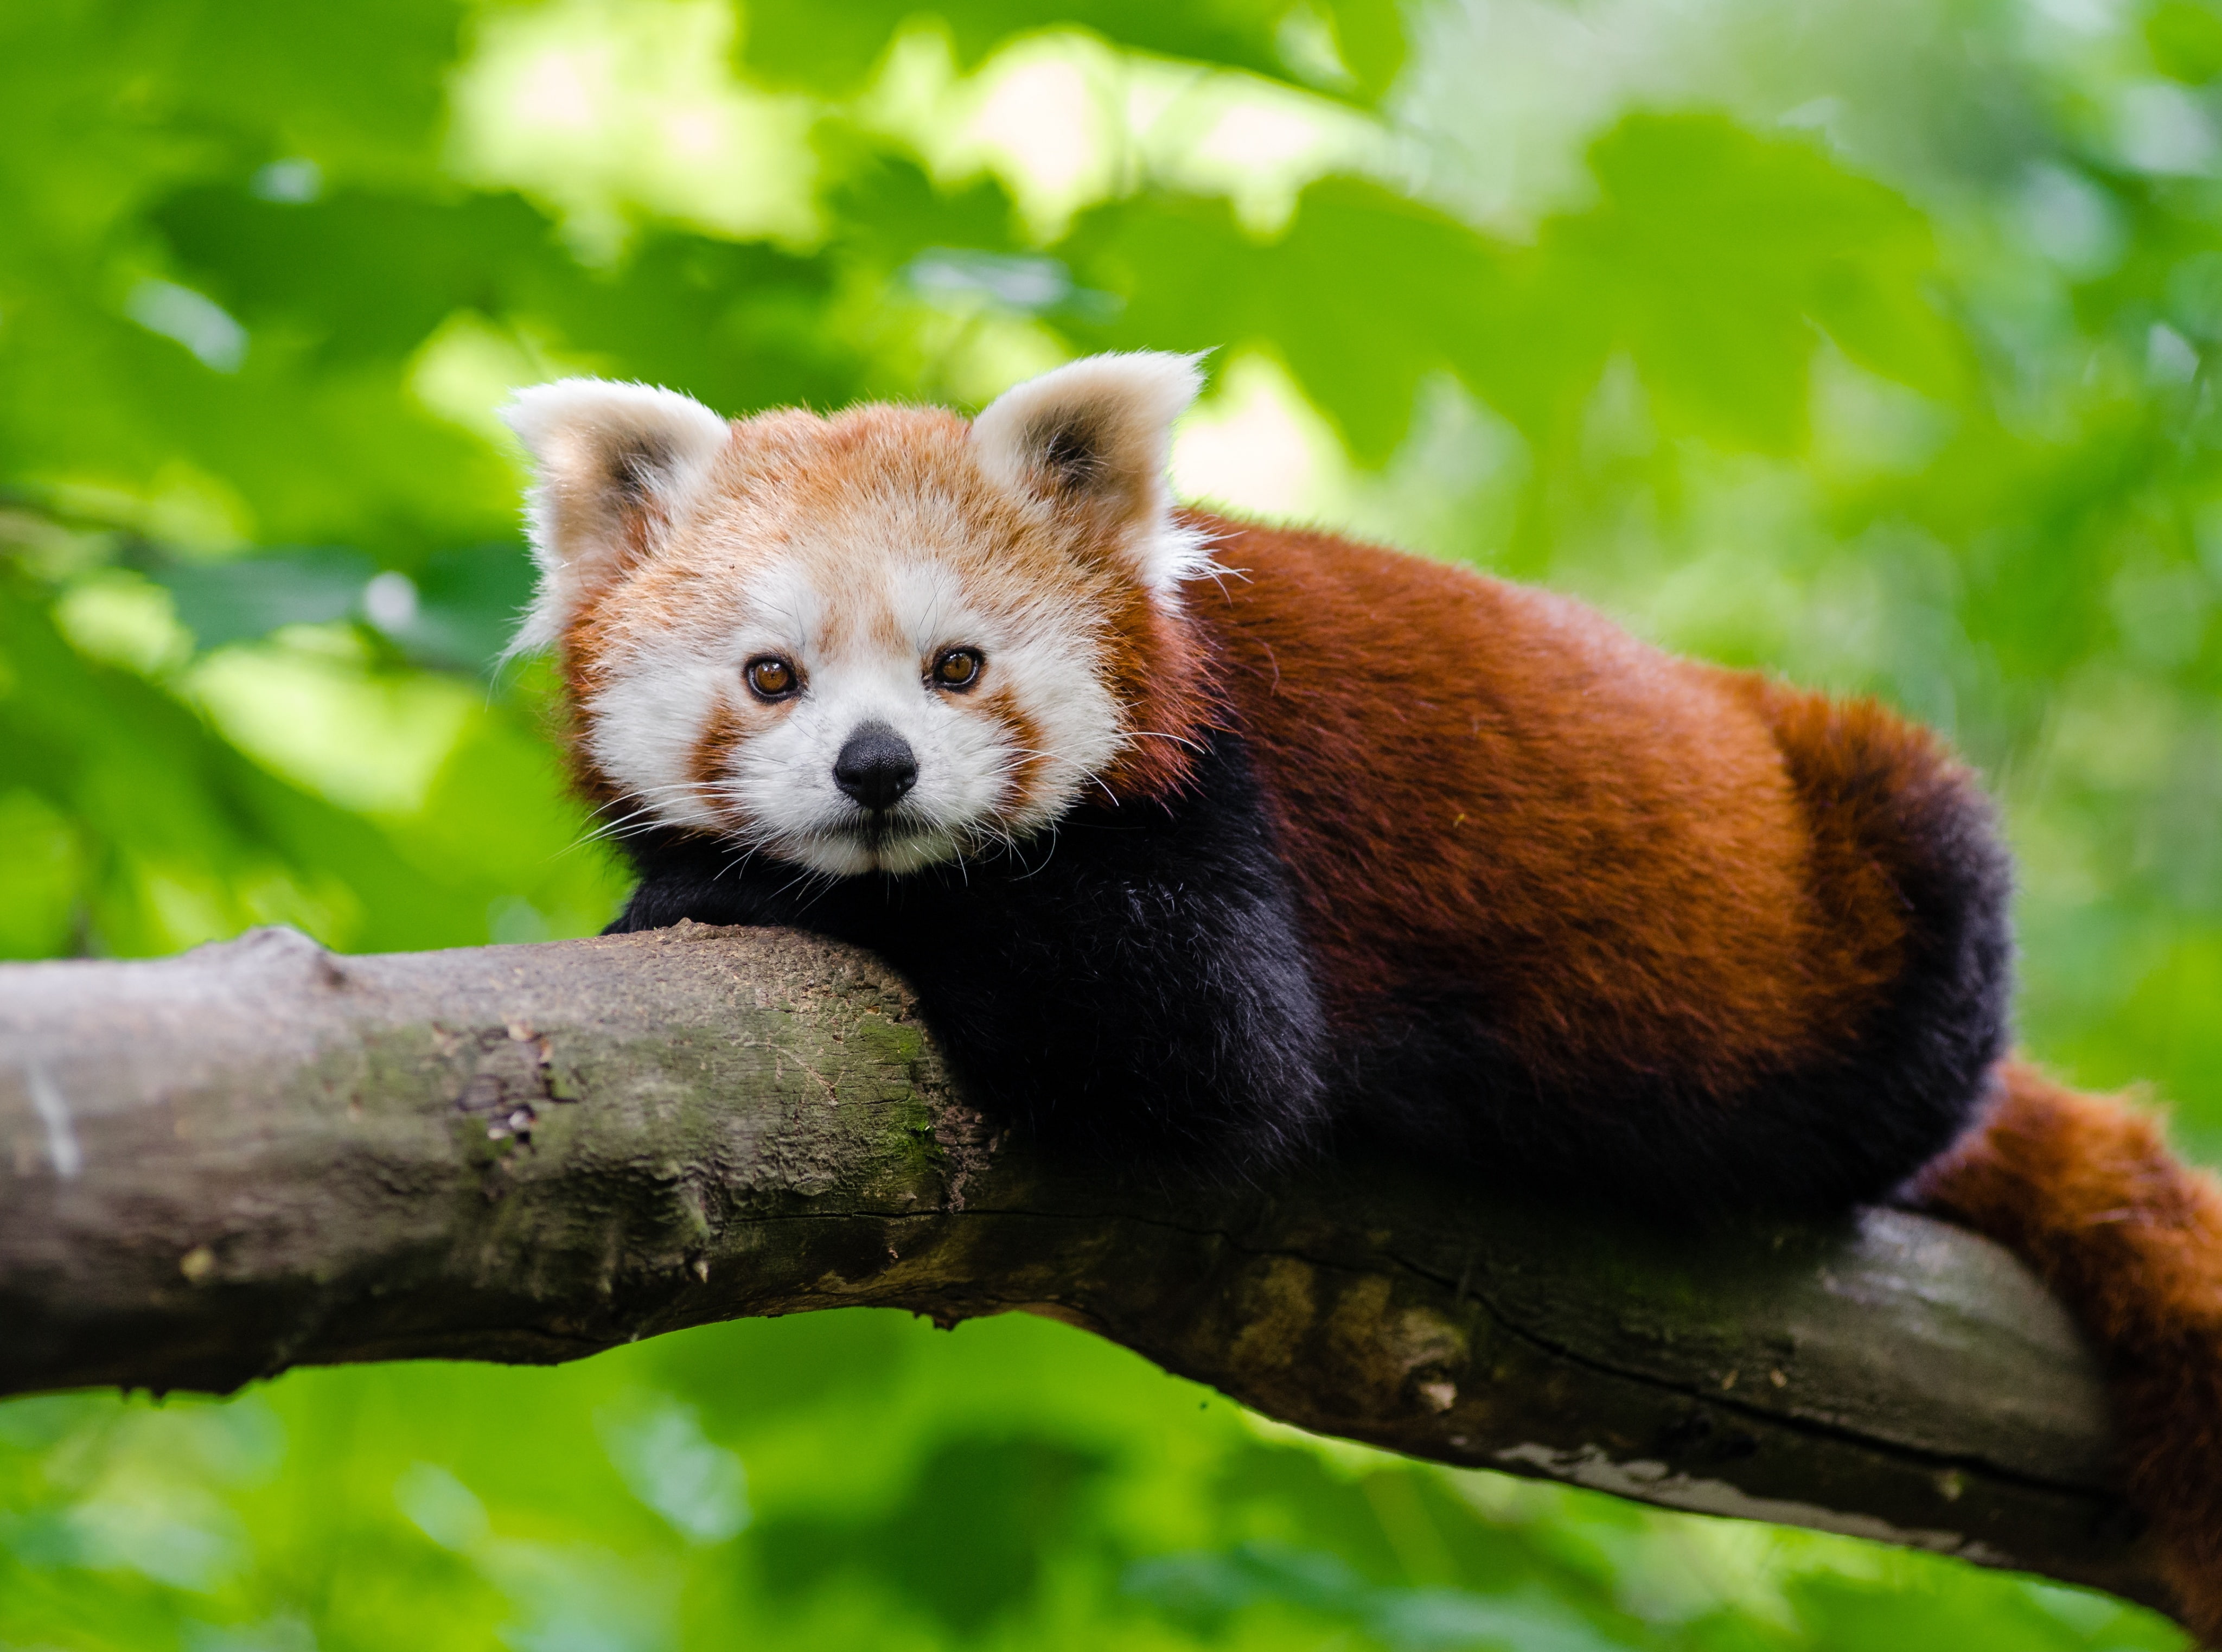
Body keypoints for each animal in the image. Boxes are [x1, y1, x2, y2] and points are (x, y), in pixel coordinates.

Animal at [505, 352, 2222, 1632]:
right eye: (772, 677)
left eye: (957, 669)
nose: (877, 772)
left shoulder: (1223, 814)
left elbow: (1203, 1043)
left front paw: (723, 888)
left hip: (1889, 871)